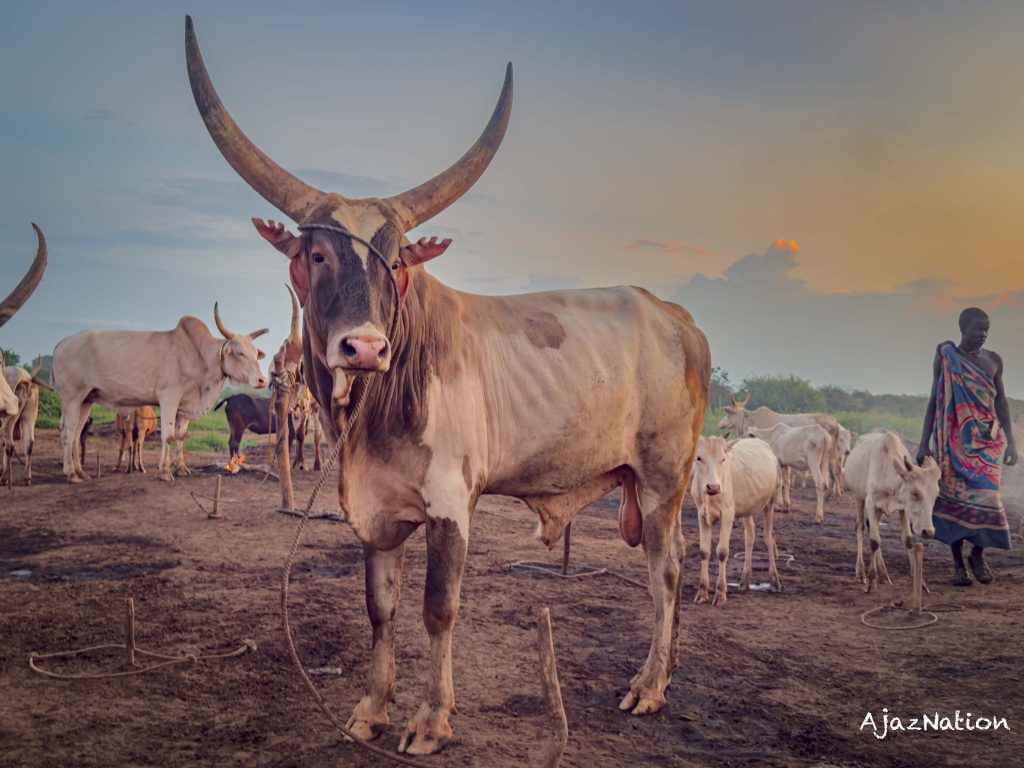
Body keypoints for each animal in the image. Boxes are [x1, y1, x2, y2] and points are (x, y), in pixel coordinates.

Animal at [52, 303, 268, 483]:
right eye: (240, 353)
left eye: (255, 353)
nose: (263, 380)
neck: (199, 356)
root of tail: (63, 342)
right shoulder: (168, 397)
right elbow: (169, 435)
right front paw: (164, 471)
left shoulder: (184, 405)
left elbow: (181, 436)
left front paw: (181, 468)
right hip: (72, 397)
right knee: (68, 431)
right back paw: (71, 474)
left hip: (86, 400)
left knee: (77, 432)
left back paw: (81, 472)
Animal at [186, 17, 711, 754]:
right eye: (315, 255)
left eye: (397, 261)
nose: (364, 347)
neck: (374, 409)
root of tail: (674, 316)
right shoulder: (375, 512)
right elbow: (380, 608)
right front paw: (370, 709)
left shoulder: (450, 503)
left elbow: (438, 609)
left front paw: (432, 719)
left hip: (666, 479)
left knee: (665, 575)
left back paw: (650, 686)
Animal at [689, 436, 782, 606]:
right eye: (699, 458)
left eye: (723, 459)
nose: (713, 487)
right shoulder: (702, 515)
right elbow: (704, 551)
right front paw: (702, 593)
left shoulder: (728, 514)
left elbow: (722, 551)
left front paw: (720, 593)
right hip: (747, 507)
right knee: (750, 535)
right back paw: (744, 581)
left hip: (770, 502)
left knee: (769, 536)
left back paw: (774, 582)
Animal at [843, 431, 941, 592]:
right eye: (915, 493)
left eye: (936, 494)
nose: (929, 531)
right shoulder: (870, 503)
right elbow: (874, 541)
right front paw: (871, 580)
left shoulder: (903, 508)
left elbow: (907, 539)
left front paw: (920, 582)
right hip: (859, 498)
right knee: (860, 527)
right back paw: (861, 572)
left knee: (871, 527)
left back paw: (883, 574)